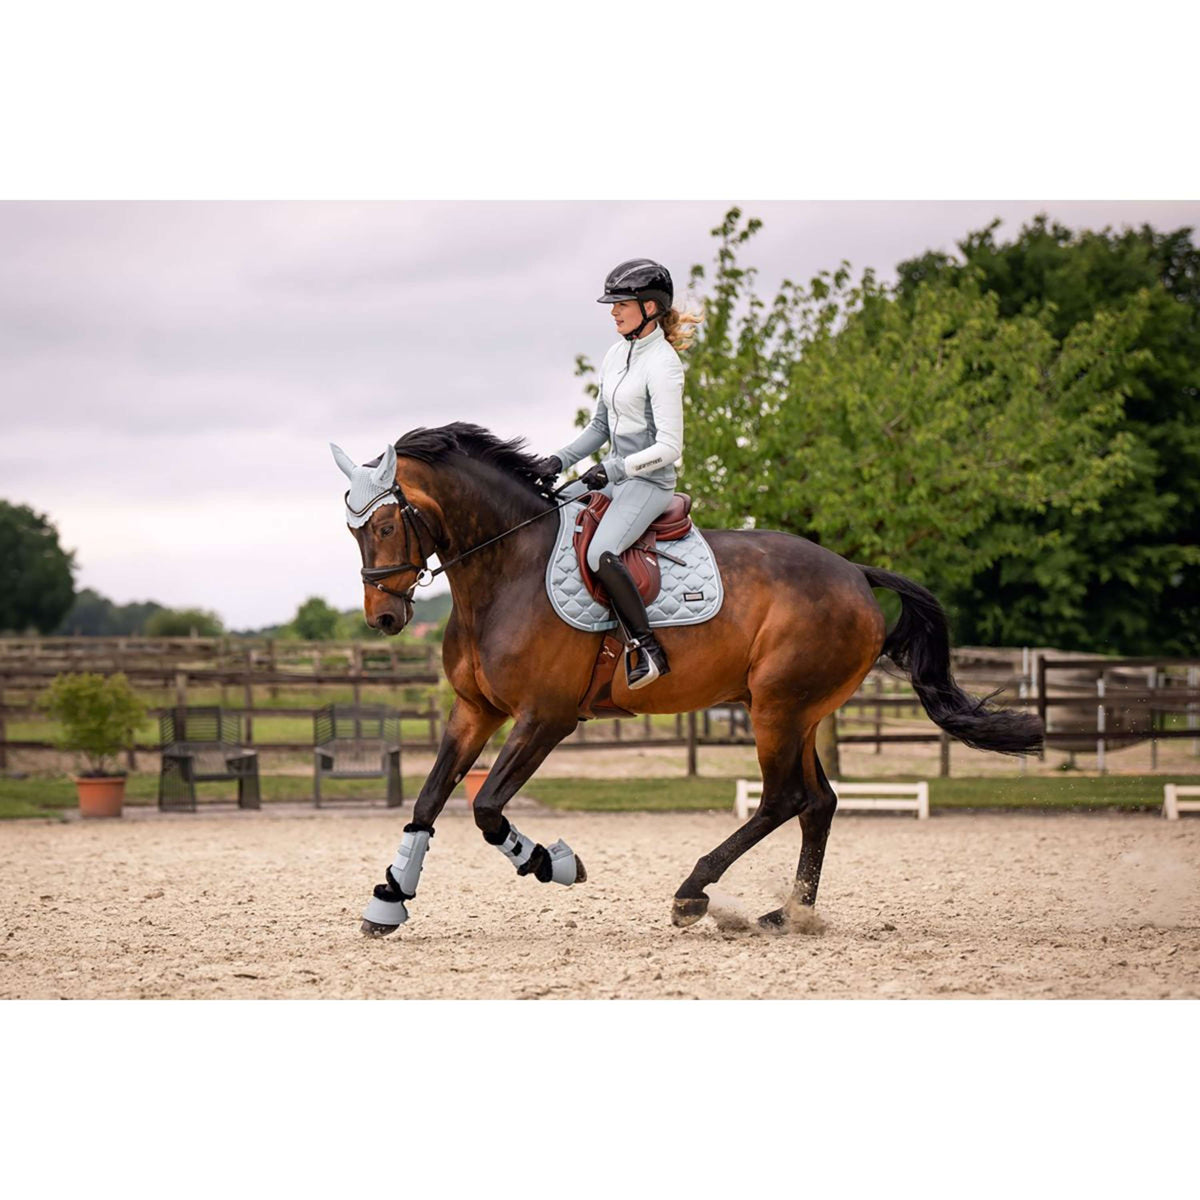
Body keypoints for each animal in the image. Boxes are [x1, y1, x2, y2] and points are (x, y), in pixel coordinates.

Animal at [333, 422, 1043, 936]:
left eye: (387, 524)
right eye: (352, 529)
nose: (384, 618)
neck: (507, 569)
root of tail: (853, 572)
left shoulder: (546, 717)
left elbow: (485, 808)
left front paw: (553, 863)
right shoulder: (474, 711)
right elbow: (427, 802)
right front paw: (390, 898)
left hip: (777, 709)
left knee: (784, 798)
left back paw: (693, 893)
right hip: (798, 713)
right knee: (819, 802)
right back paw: (790, 913)